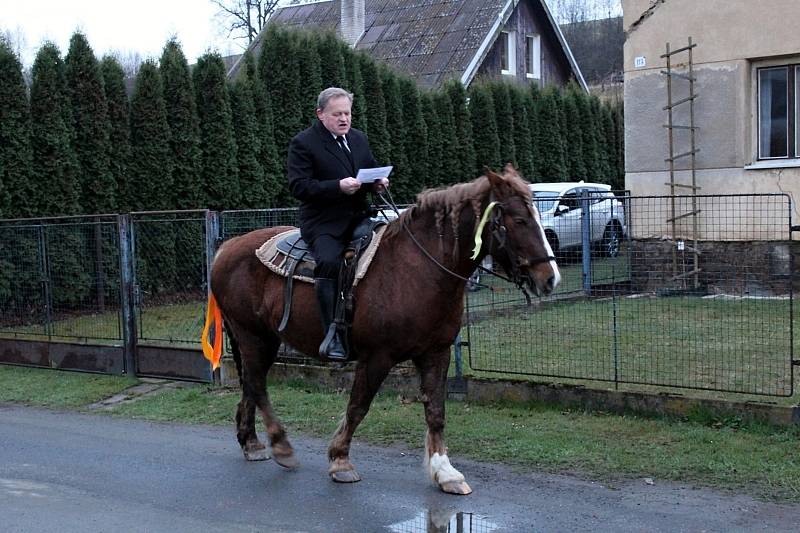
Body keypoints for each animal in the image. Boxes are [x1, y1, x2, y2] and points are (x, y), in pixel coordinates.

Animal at [212, 164, 564, 492]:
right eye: (518, 220)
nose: (550, 279)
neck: (418, 270)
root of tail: (226, 248)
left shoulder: (436, 353)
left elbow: (436, 410)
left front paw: (445, 472)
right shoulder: (377, 357)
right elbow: (358, 406)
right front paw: (340, 460)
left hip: (265, 340)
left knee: (250, 383)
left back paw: (251, 442)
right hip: (252, 335)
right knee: (258, 384)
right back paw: (281, 445)